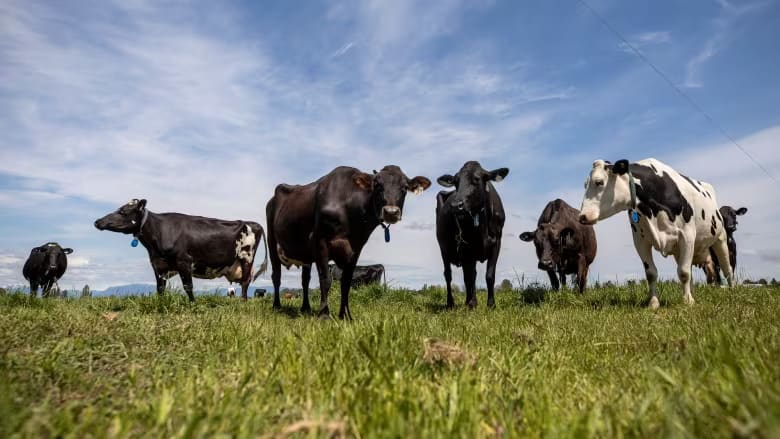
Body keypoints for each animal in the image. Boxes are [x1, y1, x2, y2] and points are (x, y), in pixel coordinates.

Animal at [92, 199, 266, 302]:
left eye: (123, 211)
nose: (97, 221)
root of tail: (254, 223)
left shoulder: (184, 261)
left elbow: (188, 286)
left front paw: (192, 304)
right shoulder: (158, 265)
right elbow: (160, 288)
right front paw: (160, 304)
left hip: (246, 258)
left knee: (245, 282)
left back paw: (243, 302)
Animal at [264, 165, 432, 320]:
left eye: (404, 188)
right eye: (377, 185)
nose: (391, 212)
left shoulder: (356, 248)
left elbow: (346, 284)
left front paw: (345, 316)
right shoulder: (320, 241)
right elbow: (325, 279)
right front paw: (324, 315)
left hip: (305, 254)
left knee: (305, 280)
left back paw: (305, 308)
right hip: (272, 241)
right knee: (276, 276)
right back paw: (276, 306)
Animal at [436, 162, 508, 310]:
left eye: (476, 179)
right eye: (455, 182)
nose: (455, 205)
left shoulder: (497, 242)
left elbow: (489, 275)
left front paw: (491, 304)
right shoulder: (466, 246)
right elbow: (470, 278)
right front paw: (472, 303)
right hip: (443, 248)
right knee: (448, 275)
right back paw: (451, 303)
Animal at [576, 159, 736, 310]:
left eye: (599, 182)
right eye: (585, 184)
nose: (582, 216)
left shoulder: (687, 236)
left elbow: (684, 272)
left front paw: (687, 301)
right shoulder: (640, 241)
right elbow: (652, 273)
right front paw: (653, 302)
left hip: (720, 239)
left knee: (727, 268)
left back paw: (731, 289)